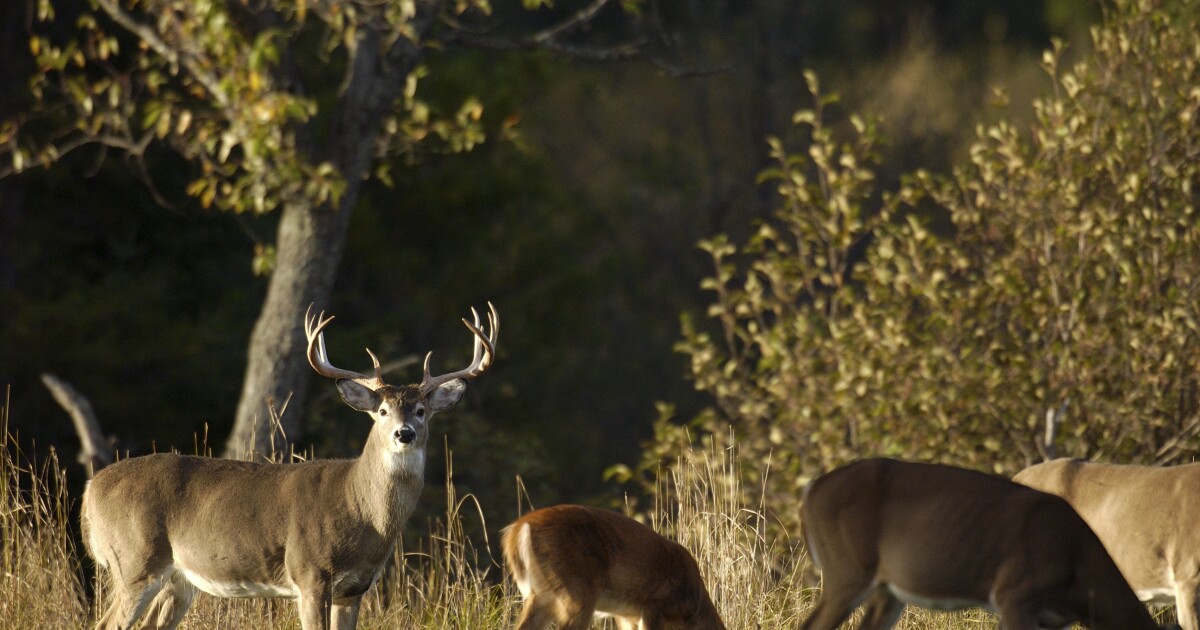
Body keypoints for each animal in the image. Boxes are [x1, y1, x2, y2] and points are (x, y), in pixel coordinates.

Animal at [80, 303, 498, 630]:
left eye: (422, 410)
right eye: (381, 411)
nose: (404, 433)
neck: (361, 510)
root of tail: (90, 490)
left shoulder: (355, 588)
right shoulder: (309, 573)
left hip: (178, 580)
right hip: (133, 559)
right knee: (105, 623)